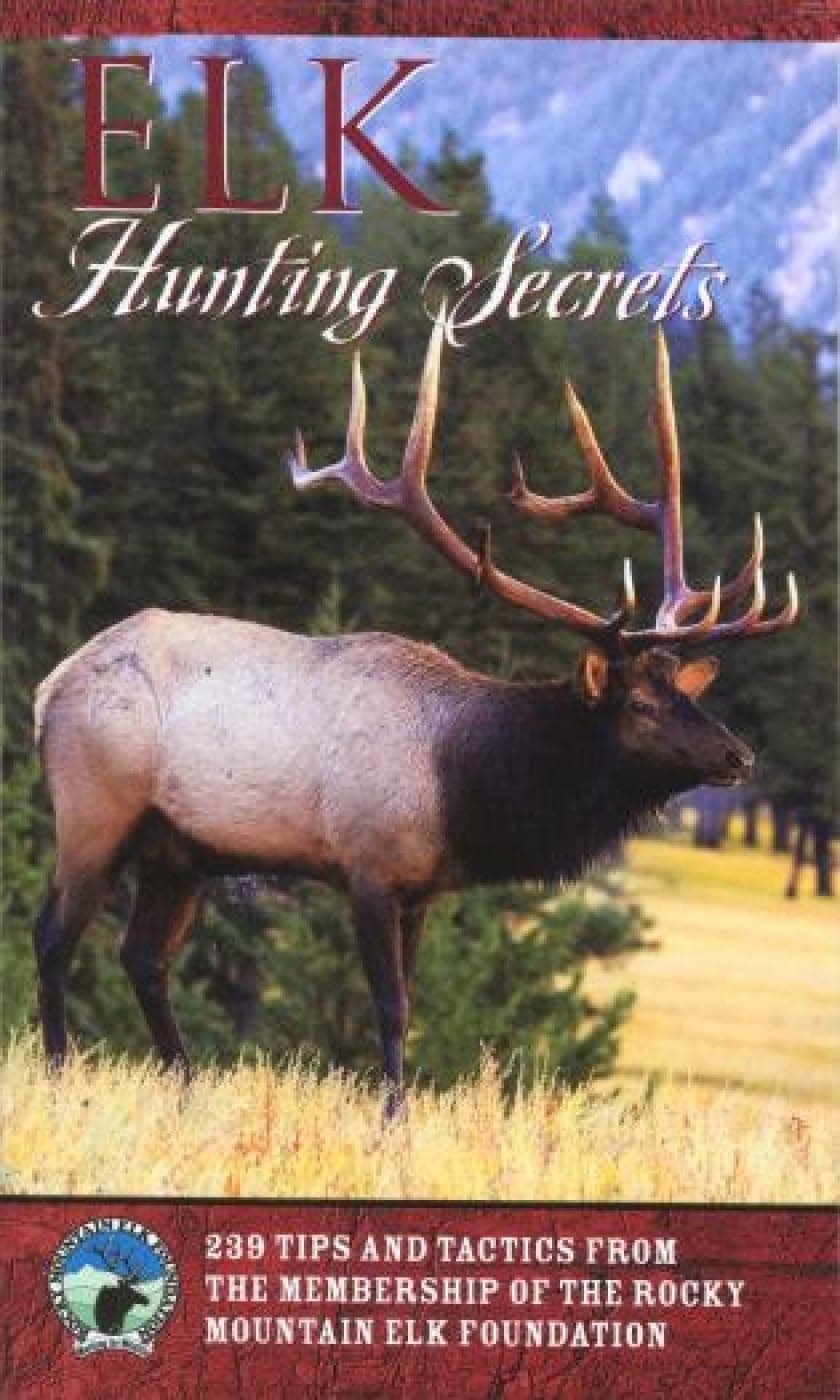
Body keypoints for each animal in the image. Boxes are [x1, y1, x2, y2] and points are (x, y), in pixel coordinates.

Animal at [33, 325, 797, 1114]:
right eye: (641, 705)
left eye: (686, 693)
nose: (739, 757)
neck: (465, 787)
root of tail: (50, 685)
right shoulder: (368, 865)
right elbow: (391, 1007)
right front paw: (390, 1117)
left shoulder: (421, 886)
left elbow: (415, 1002)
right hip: (95, 810)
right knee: (54, 938)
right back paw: (59, 1077)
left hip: (178, 850)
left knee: (142, 956)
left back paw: (186, 1088)